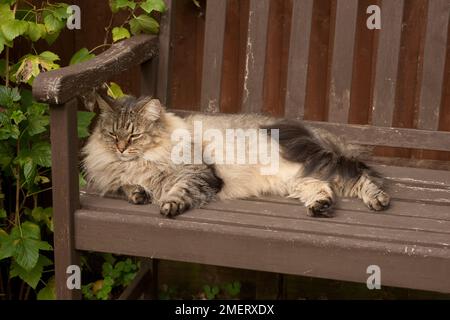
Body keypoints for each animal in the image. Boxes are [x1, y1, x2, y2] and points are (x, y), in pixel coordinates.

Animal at [81, 92, 390, 218]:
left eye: (134, 135)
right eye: (112, 135)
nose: (121, 148)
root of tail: (321, 133)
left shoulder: (199, 174)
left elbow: (179, 191)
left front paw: (169, 205)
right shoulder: (115, 177)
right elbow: (124, 186)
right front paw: (137, 193)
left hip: (322, 165)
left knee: (361, 178)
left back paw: (378, 201)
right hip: (300, 180)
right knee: (324, 189)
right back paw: (320, 206)